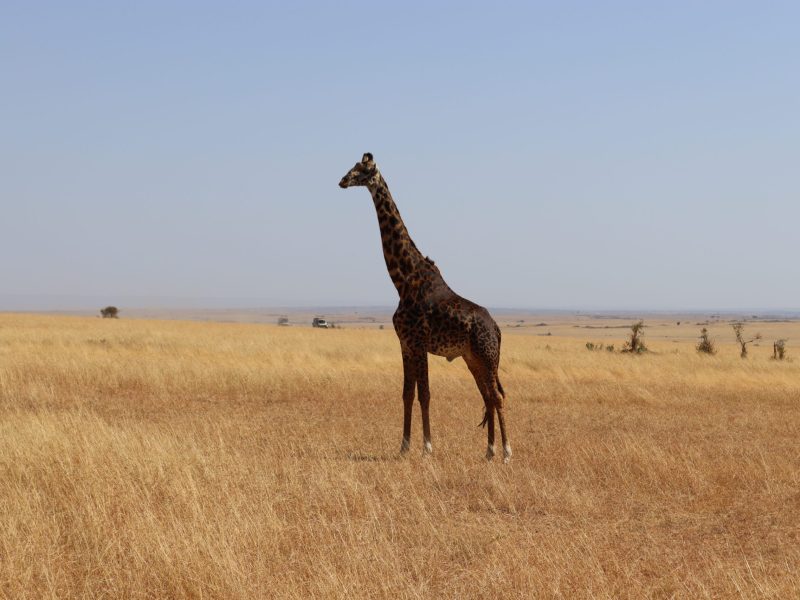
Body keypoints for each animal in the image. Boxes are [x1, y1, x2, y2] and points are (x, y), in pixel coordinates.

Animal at [339, 153, 512, 463]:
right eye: (353, 167)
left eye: (362, 170)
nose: (342, 181)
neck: (403, 279)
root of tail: (497, 328)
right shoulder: (405, 344)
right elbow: (407, 393)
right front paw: (404, 446)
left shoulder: (419, 343)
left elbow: (425, 394)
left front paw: (427, 447)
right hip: (473, 358)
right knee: (487, 396)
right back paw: (489, 451)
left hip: (487, 355)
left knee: (497, 396)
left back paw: (505, 452)